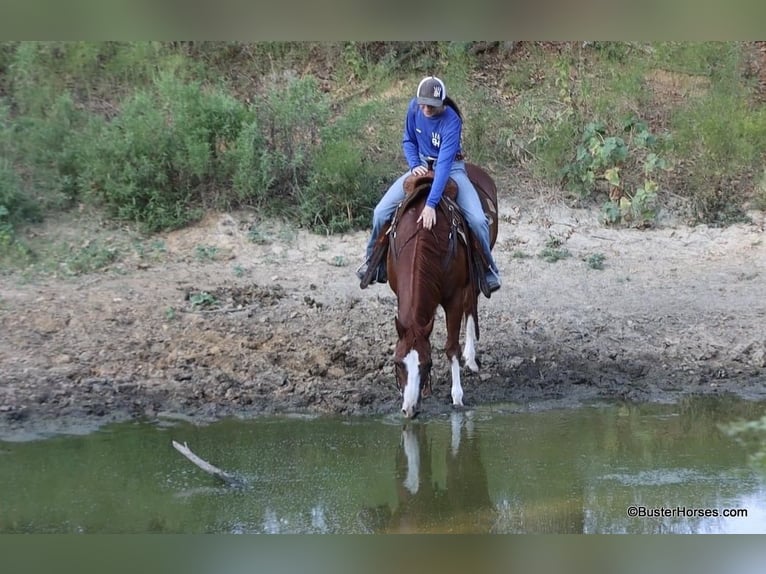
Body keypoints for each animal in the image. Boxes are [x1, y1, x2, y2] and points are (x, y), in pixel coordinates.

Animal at [382, 164, 498, 418]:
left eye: (426, 364)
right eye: (397, 363)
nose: (409, 409)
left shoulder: (453, 297)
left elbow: (451, 347)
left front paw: (457, 396)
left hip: (473, 275)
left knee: (471, 304)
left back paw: (470, 359)